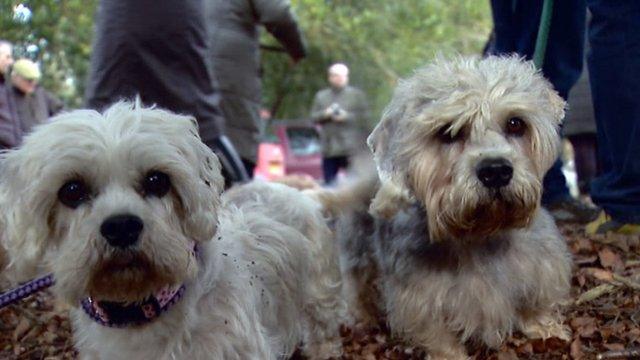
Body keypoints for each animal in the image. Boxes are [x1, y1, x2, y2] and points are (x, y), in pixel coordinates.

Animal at [0, 102, 344, 358]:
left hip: (319, 295)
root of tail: (299, 191)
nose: (121, 226)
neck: (144, 311)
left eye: (157, 180)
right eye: (71, 191)